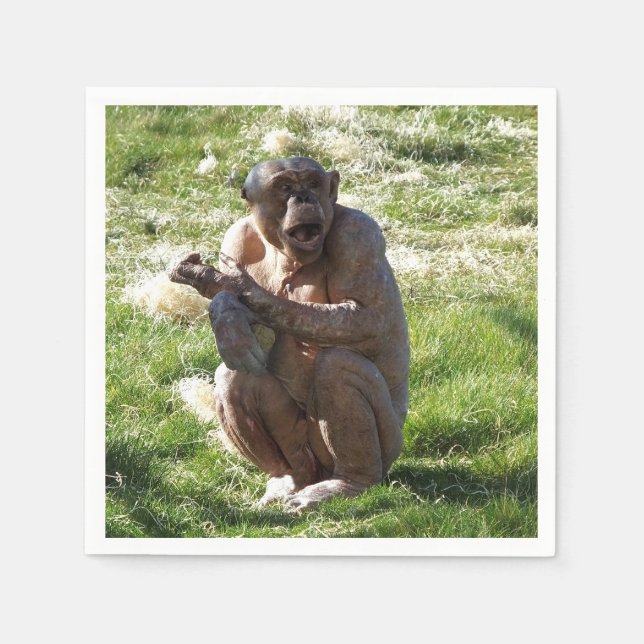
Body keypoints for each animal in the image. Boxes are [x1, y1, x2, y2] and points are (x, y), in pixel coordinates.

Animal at [170, 157, 409, 510]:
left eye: (312, 183)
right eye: (284, 188)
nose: (303, 198)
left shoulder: (359, 235)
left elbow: (367, 317)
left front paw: (235, 288)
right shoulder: (236, 237)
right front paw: (227, 312)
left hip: (389, 445)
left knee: (338, 367)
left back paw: (349, 482)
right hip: (306, 454)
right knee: (236, 375)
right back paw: (287, 480)